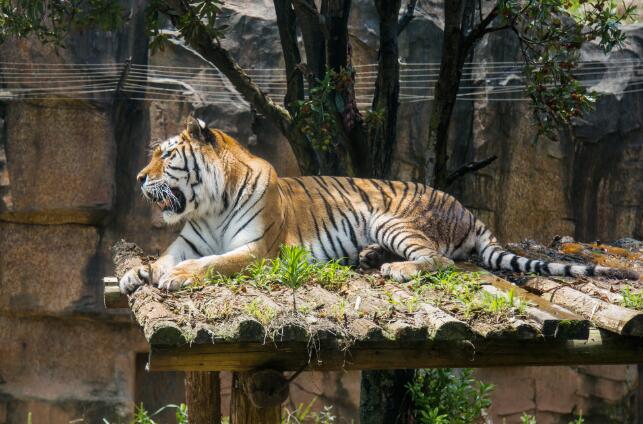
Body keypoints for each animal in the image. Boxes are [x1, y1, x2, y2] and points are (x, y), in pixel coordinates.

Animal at [119, 117, 640, 294]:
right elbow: (163, 256)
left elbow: (215, 263)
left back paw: (395, 268)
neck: (208, 205)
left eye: (166, 155)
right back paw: (370, 257)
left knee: (439, 261)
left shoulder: (259, 251)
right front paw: (135, 274)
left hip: (393, 218)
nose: (138, 177)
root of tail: (467, 211)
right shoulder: (187, 241)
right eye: (152, 155)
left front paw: (176, 278)